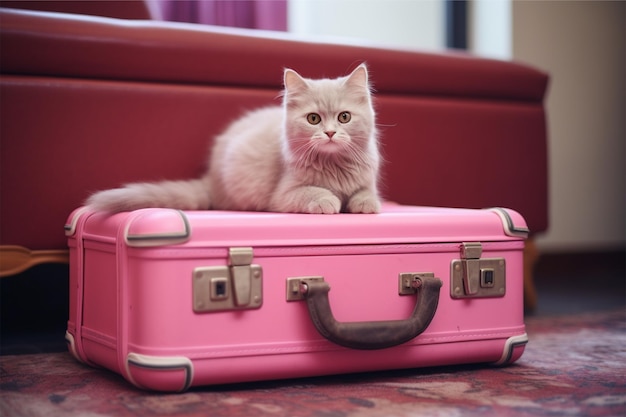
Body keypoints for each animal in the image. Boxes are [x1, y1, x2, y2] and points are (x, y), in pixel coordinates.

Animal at [86, 66, 380, 214]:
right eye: (314, 119)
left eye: (344, 117)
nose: (330, 133)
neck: (335, 167)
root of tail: (211, 180)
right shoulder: (283, 195)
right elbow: (314, 192)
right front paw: (330, 201)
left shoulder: (367, 181)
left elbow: (367, 195)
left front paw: (365, 204)